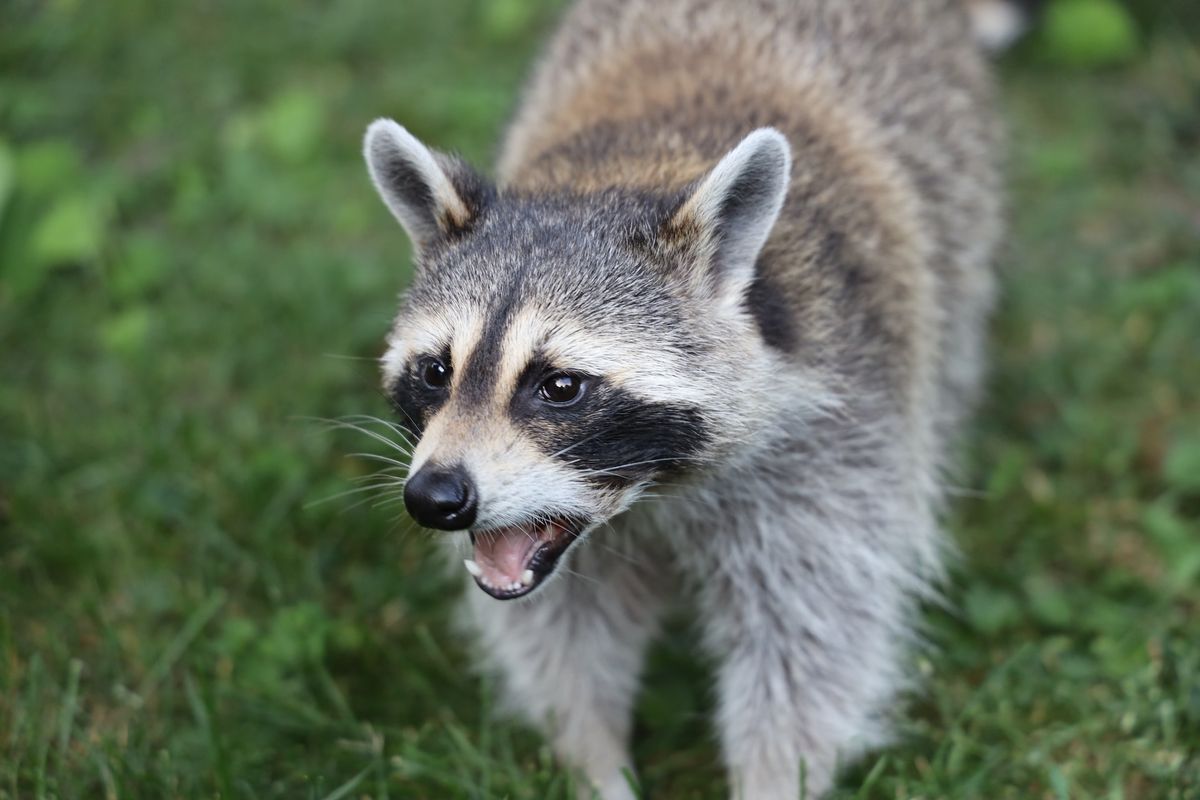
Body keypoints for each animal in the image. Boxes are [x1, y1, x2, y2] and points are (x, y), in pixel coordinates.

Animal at [362, 0, 1012, 796]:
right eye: (435, 372)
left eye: (560, 387)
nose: (436, 498)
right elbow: (563, 636)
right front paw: (592, 760)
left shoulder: (841, 428)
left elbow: (814, 635)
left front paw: (773, 777)